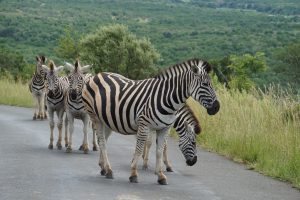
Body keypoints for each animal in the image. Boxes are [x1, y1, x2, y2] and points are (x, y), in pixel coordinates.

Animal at [82, 57, 220, 184]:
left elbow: (159, 150)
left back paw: (104, 168)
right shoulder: (144, 125)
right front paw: (134, 172)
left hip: (107, 120)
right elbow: (140, 147)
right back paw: (109, 170)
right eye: (205, 84)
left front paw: (161, 175)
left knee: (103, 141)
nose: (217, 107)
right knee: (102, 143)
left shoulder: (164, 128)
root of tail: (98, 74)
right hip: (95, 117)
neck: (167, 99)